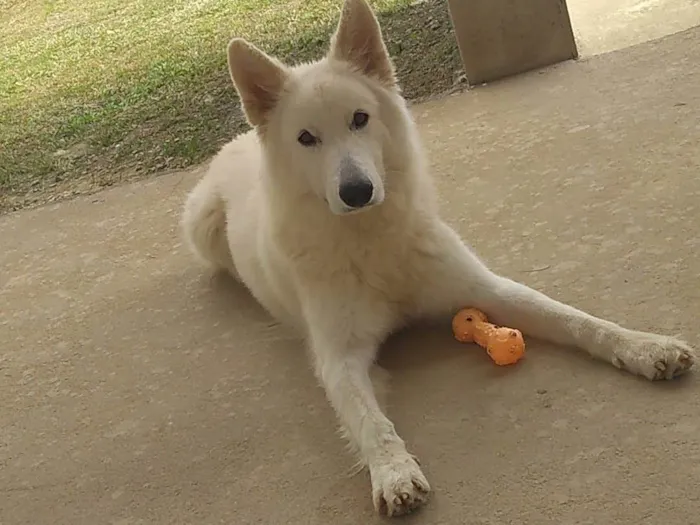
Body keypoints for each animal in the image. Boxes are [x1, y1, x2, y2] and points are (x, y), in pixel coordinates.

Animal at [183, 0, 696, 516]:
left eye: (360, 118)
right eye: (306, 138)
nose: (357, 192)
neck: (373, 243)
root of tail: (237, 141)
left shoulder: (486, 289)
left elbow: (576, 319)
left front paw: (644, 346)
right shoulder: (338, 357)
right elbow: (370, 422)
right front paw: (393, 473)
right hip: (200, 228)